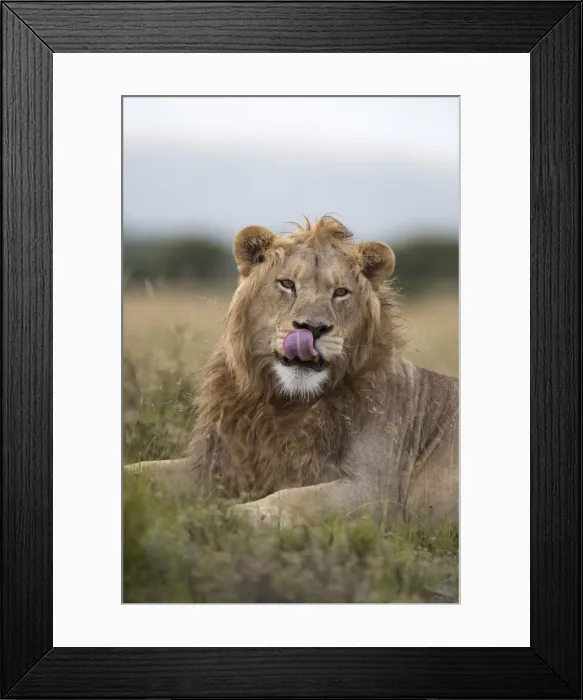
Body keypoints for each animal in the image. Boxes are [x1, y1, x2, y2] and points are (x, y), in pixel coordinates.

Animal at [126, 216, 458, 528]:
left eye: (341, 292)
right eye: (287, 284)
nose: (312, 328)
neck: (283, 402)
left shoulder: (376, 491)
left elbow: (295, 498)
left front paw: (237, 515)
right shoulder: (217, 465)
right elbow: (143, 470)